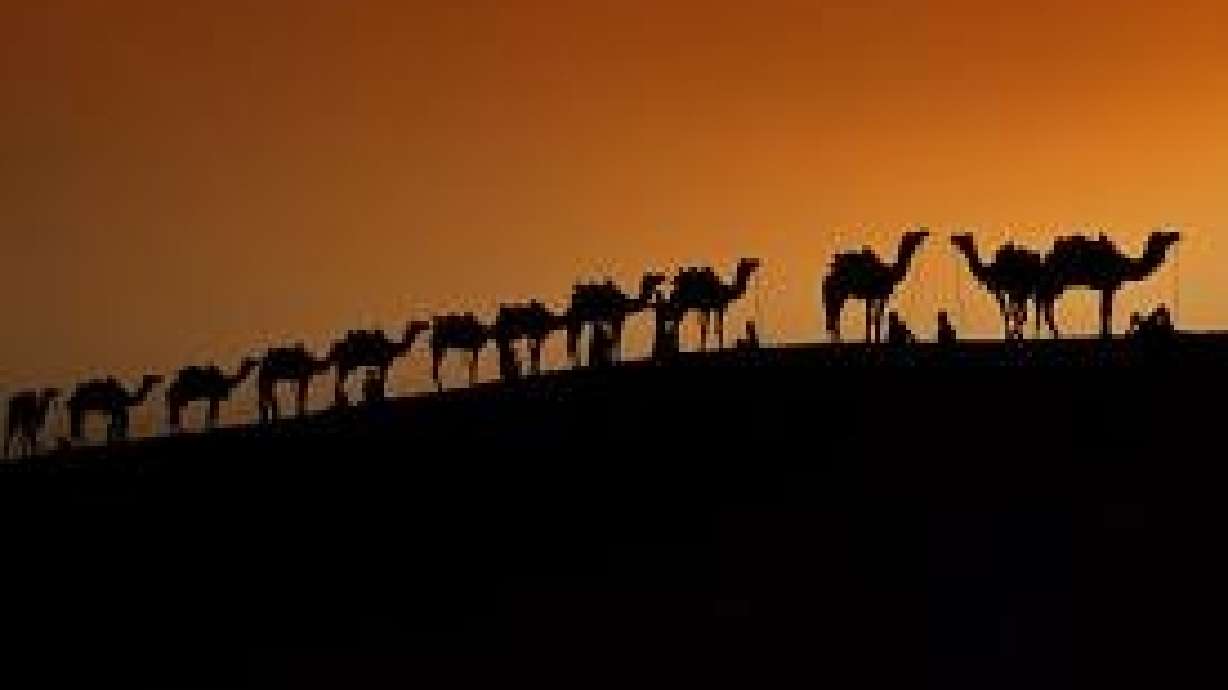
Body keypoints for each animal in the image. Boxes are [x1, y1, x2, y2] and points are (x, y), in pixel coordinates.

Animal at [1035, 230, 1181, 338]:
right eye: (1163, 236)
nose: (1176, 234)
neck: (1124, 266)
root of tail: (1048, 257)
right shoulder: (1109, 286)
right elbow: (1106, 310)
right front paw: (1106, 334)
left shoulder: (1105, 288)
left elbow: (1104, 309)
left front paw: (1104, 332)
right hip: (1059, 281)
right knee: (1044, 300)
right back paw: (1056, 332)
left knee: (1045, 301)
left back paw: (1053, 332)